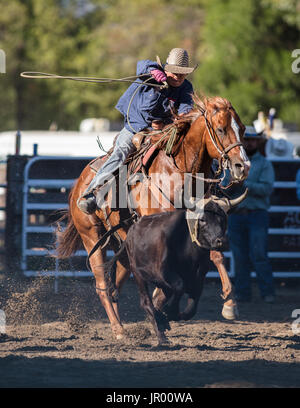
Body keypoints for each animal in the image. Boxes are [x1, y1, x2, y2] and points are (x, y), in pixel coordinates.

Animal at [56, 95, 248, 338]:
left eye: (242, 129)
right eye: (221, 129)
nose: (243, 166)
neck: (177, 173)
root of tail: (79, 184)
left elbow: (216, 255)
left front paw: (230, 304)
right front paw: (162, 304)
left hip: (123, 246)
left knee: (115, 286)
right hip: (91, 236)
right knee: (102, 286)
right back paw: (119, 329)